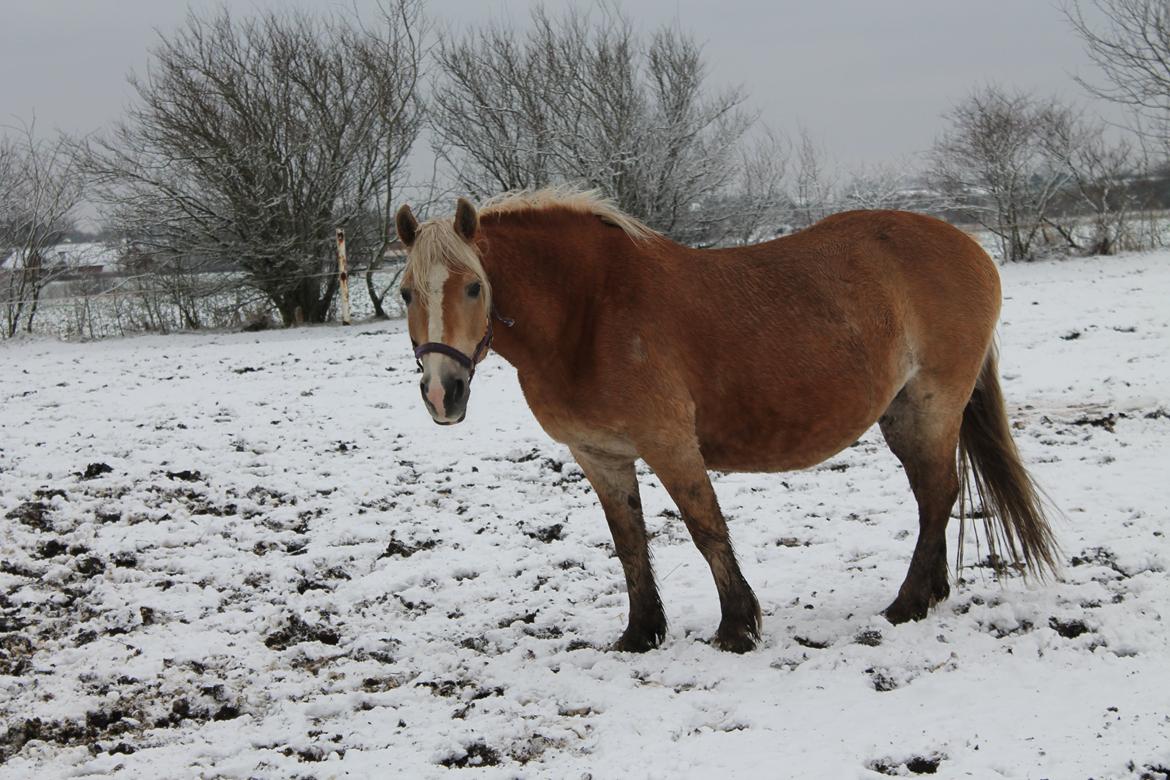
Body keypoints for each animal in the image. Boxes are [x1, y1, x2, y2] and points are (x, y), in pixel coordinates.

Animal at [395, 189, 1062, 654]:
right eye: (405, 293)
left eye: (475, 287)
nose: (442, 392)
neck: (588, 313)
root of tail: (969, 246)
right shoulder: (600, 457)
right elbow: (628, 543)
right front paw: (640, 634)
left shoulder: (671, 445)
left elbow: (706, 530)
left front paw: (738, 628)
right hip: (903, 414)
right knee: (933, 494)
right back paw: (930, 593)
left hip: (932, 404)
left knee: (938, 493)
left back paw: (907, 603)